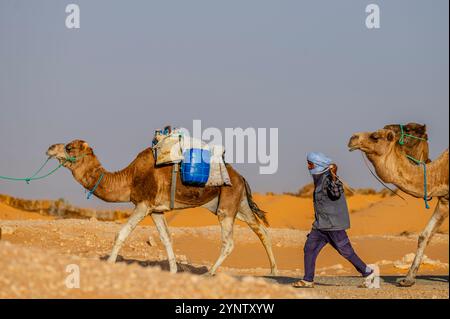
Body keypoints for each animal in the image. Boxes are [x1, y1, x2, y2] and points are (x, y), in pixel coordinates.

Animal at [45, 141, 278, 276]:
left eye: (69, 147)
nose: (49, 148)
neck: (129, 178)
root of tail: (241, 178)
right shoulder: (156, 210)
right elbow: (166, 238)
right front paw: (173, 271)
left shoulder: (143, 204)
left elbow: (121, 233)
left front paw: (109, 263)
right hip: (238, 204)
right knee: (261, 231)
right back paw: (274, 272)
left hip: (227, 205)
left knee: (229, 242)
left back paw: (208, 273)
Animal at [348, 125, 450, 288]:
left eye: (375, 136)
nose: (352, 138)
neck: (441, 174)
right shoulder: (445, 201)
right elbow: (424, 236)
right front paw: (407, 280)